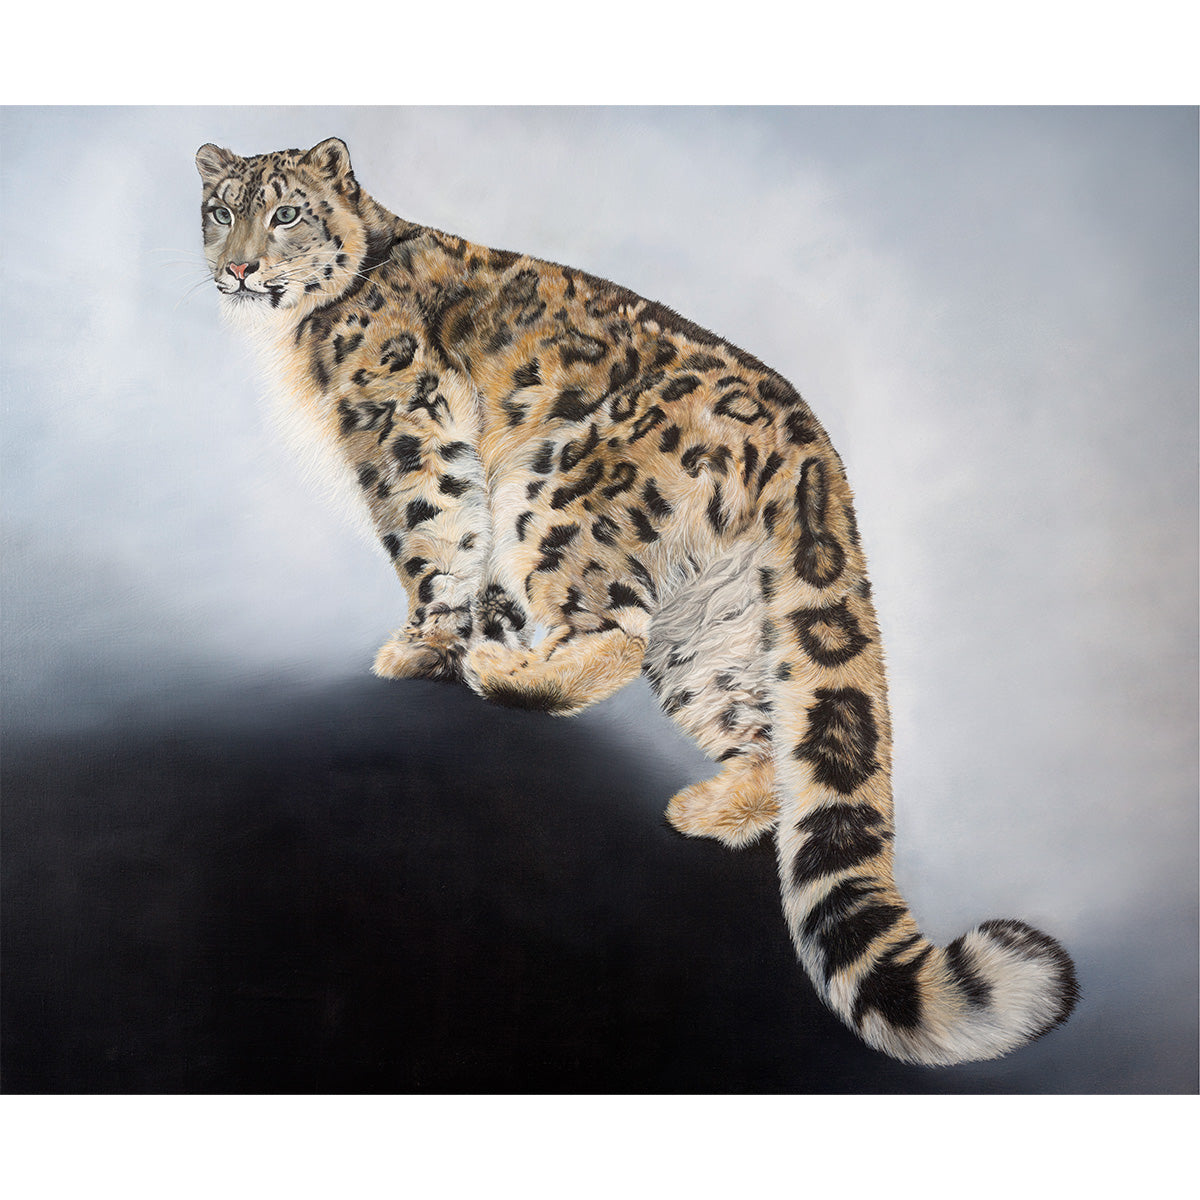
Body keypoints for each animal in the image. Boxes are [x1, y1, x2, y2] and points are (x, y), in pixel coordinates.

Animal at [196, 136, 1079, 1066]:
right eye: (220, 210)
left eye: (286, 211)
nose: (239, 266)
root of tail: (810, 445)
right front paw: (464, 637)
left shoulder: (403, 428)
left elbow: (434, 537)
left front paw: (424, 646)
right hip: (715, 629)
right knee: (761, 736)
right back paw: (700, 804)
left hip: (556, 494)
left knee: (615, 631)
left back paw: (503, 671)